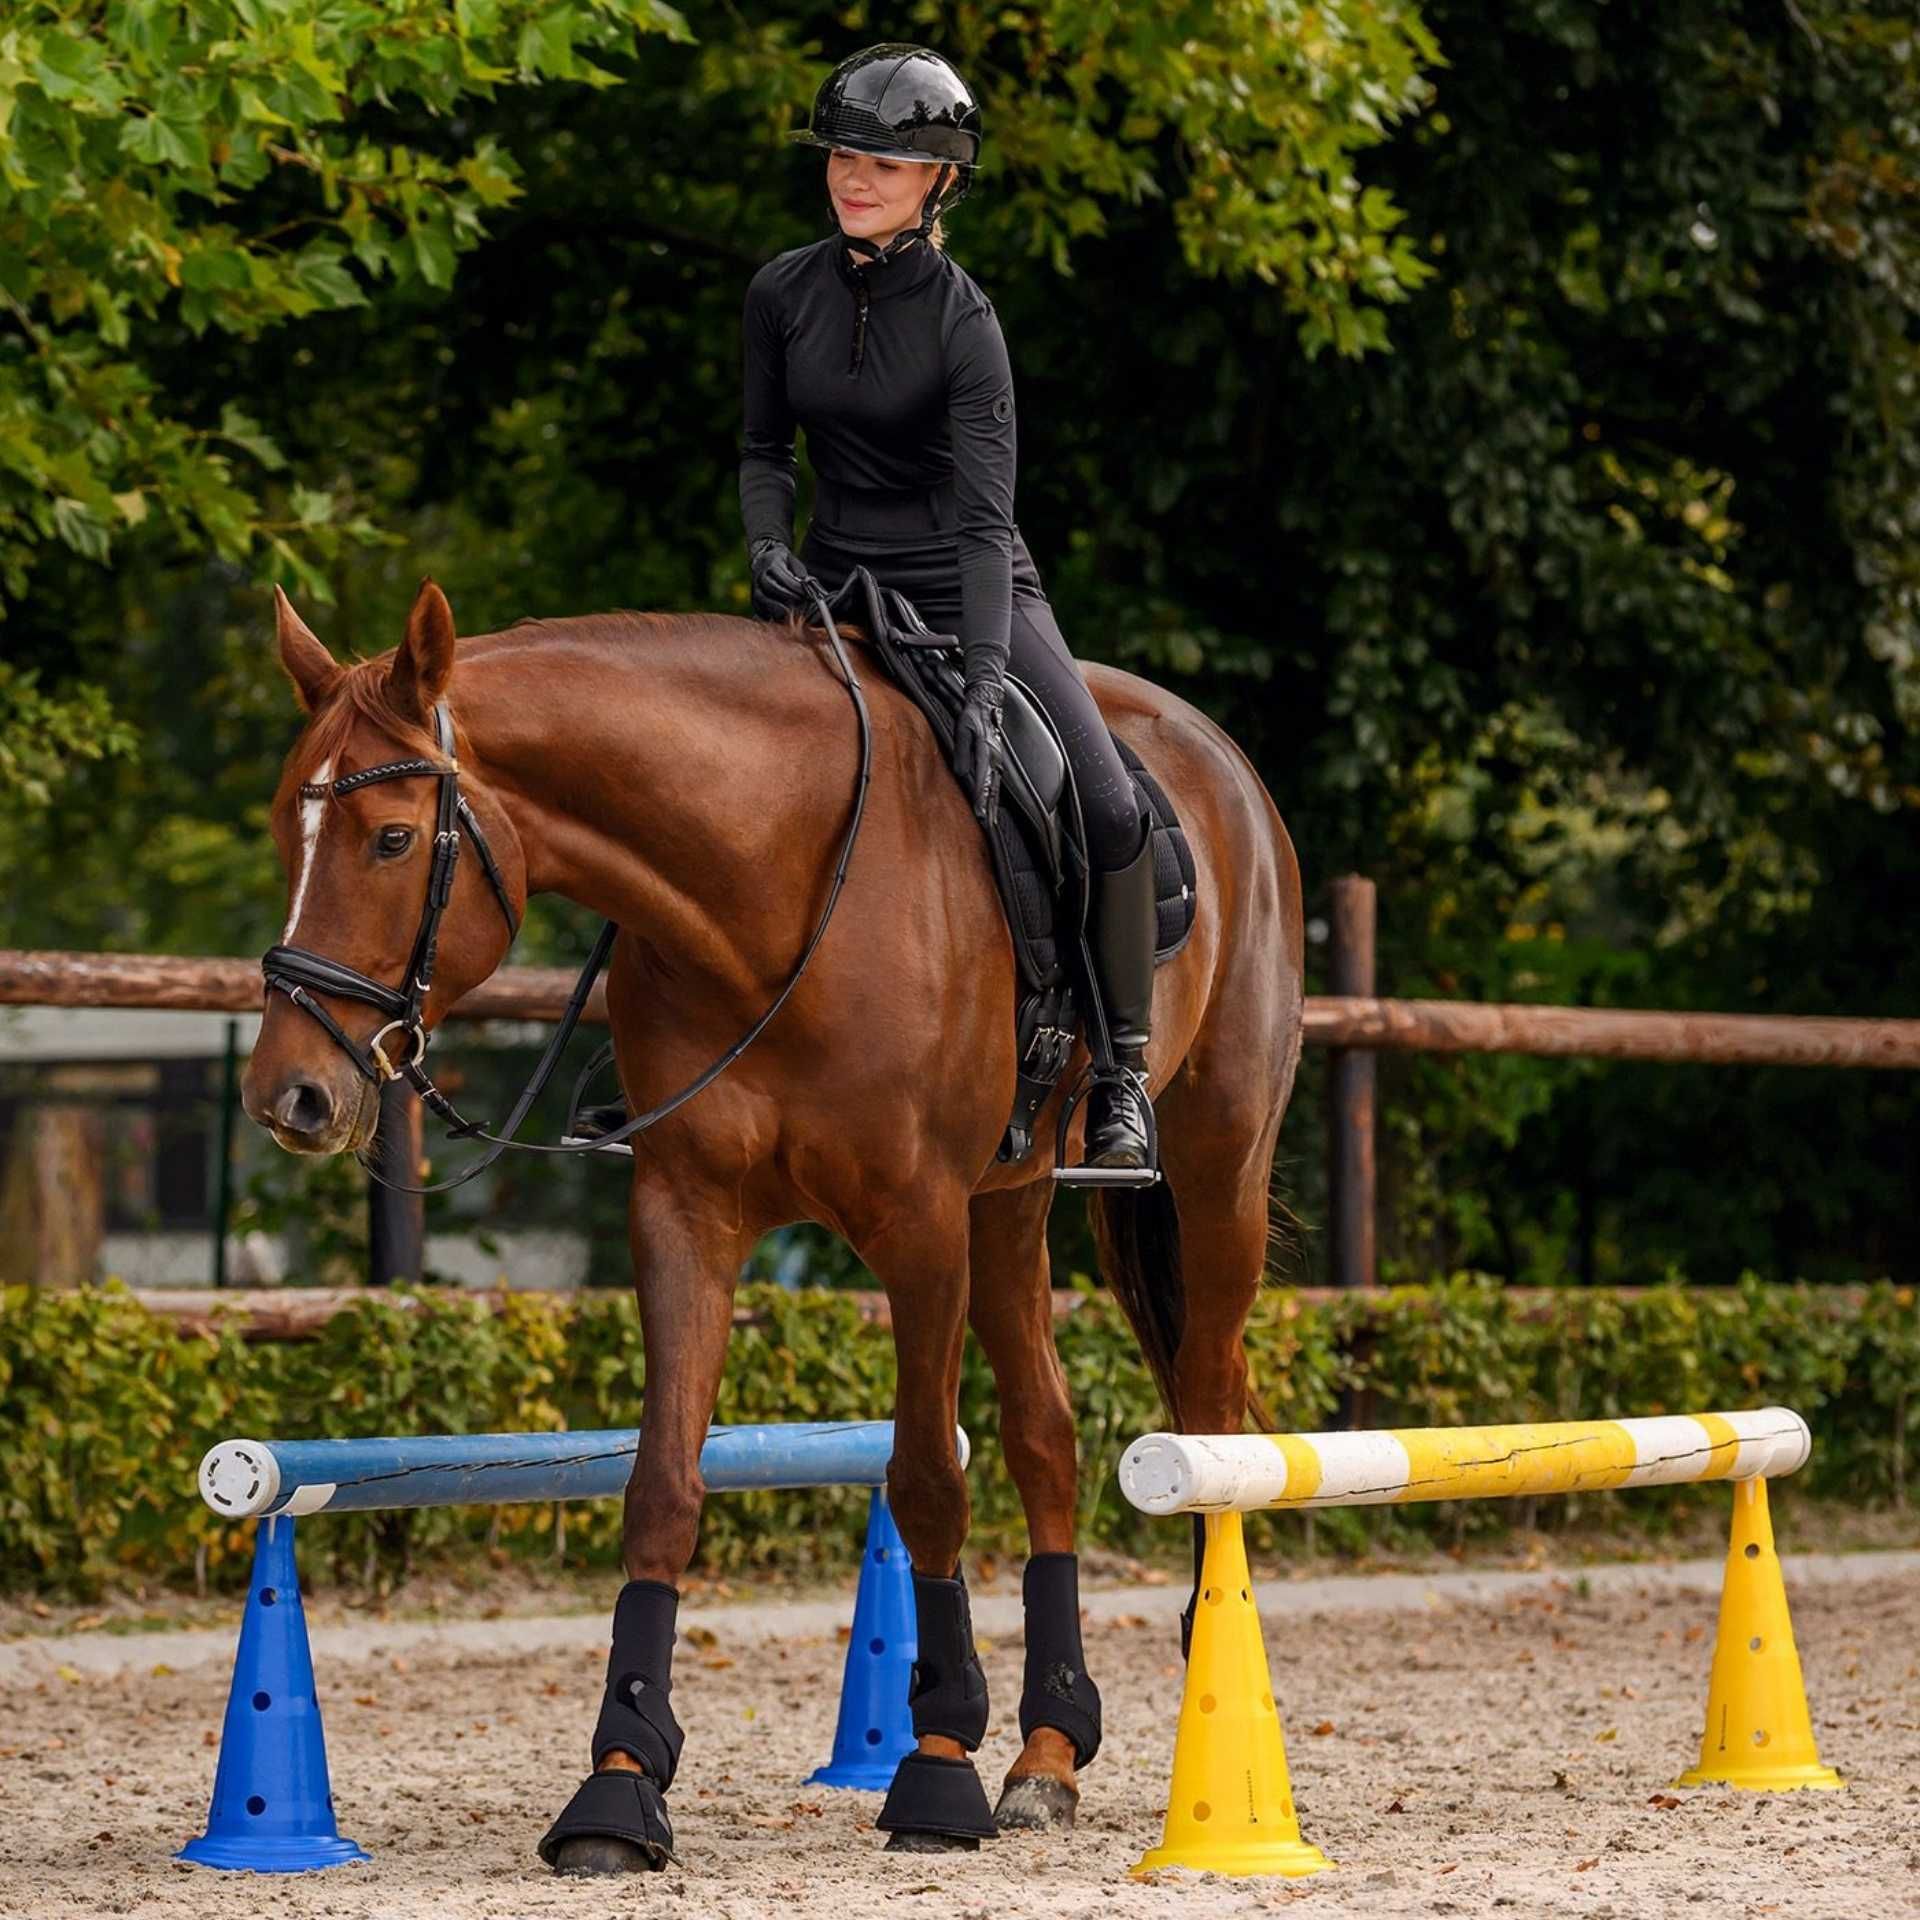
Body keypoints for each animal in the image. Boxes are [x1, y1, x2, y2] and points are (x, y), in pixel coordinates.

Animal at [241, 575, 1305, 1872]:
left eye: (392, 839)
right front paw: (619, 1784)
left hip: (1213, 1172)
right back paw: (1048, 1757)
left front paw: (935, 1767)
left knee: (1209, 1409)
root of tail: (1222, 762)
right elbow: (662, 1486)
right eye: (283, 830)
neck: (770, 884)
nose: (291, 1098)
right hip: (1010, 1206)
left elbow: (927, 1481)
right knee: (1046, 1435)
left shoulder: (918, 1226)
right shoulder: (687, 1213)